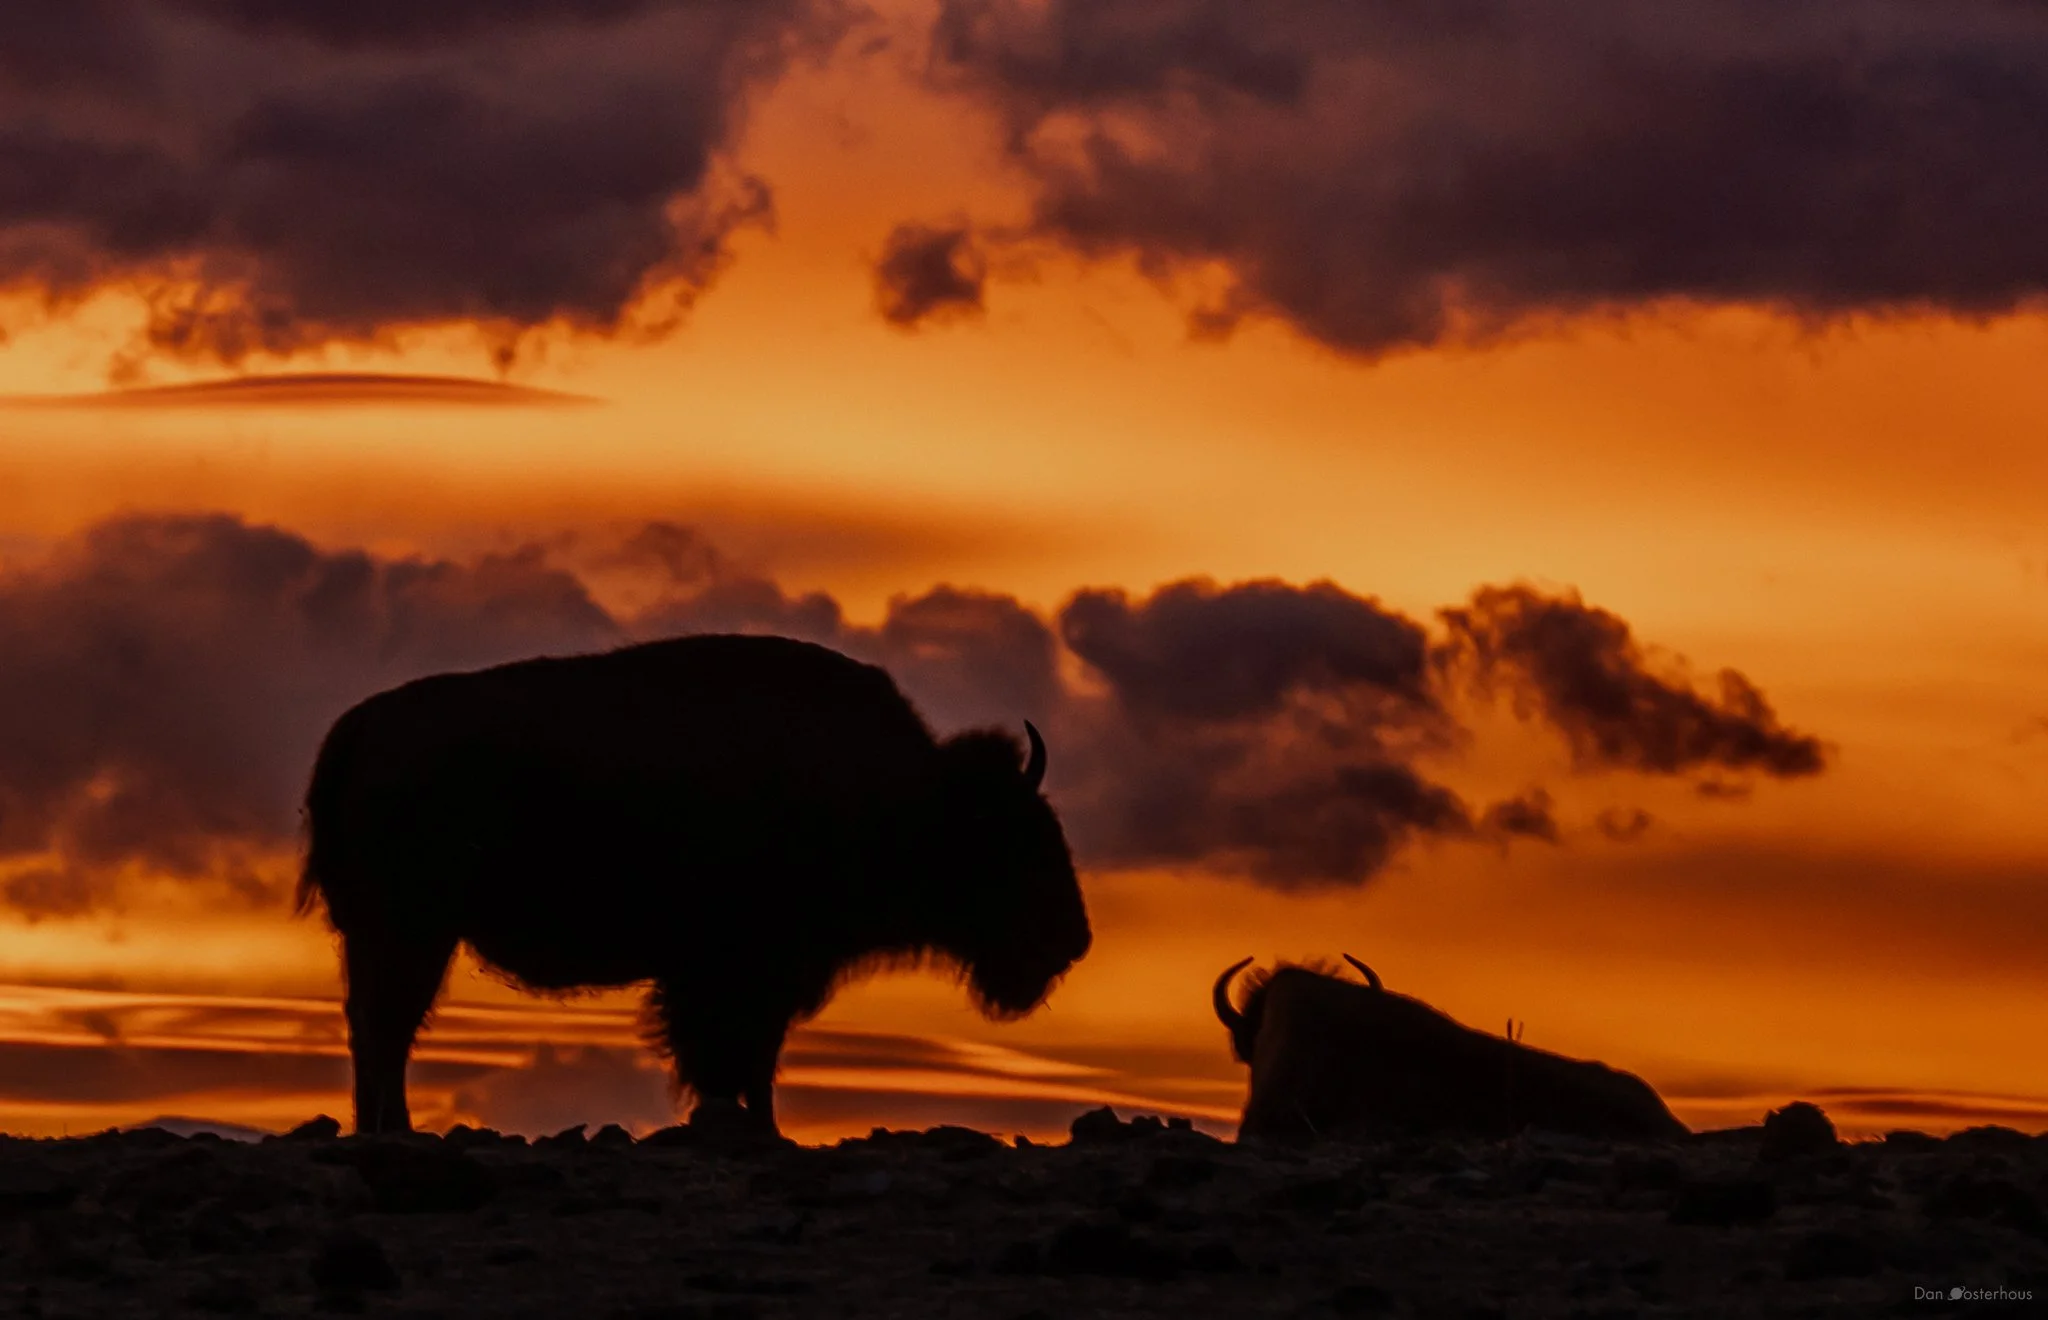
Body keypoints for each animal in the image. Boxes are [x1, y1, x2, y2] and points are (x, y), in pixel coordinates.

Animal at [300, 634, 1092, 1136]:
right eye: (1018, 842)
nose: (1074, 939)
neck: (900, 795)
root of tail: (358, 730)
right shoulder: (739, 971)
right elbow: (732, 1054)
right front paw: (750, 1129)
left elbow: (753, 1058)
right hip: (412, 932)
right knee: (387, 1026)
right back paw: (396, 1133)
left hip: (393, 936)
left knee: (375, 1027)